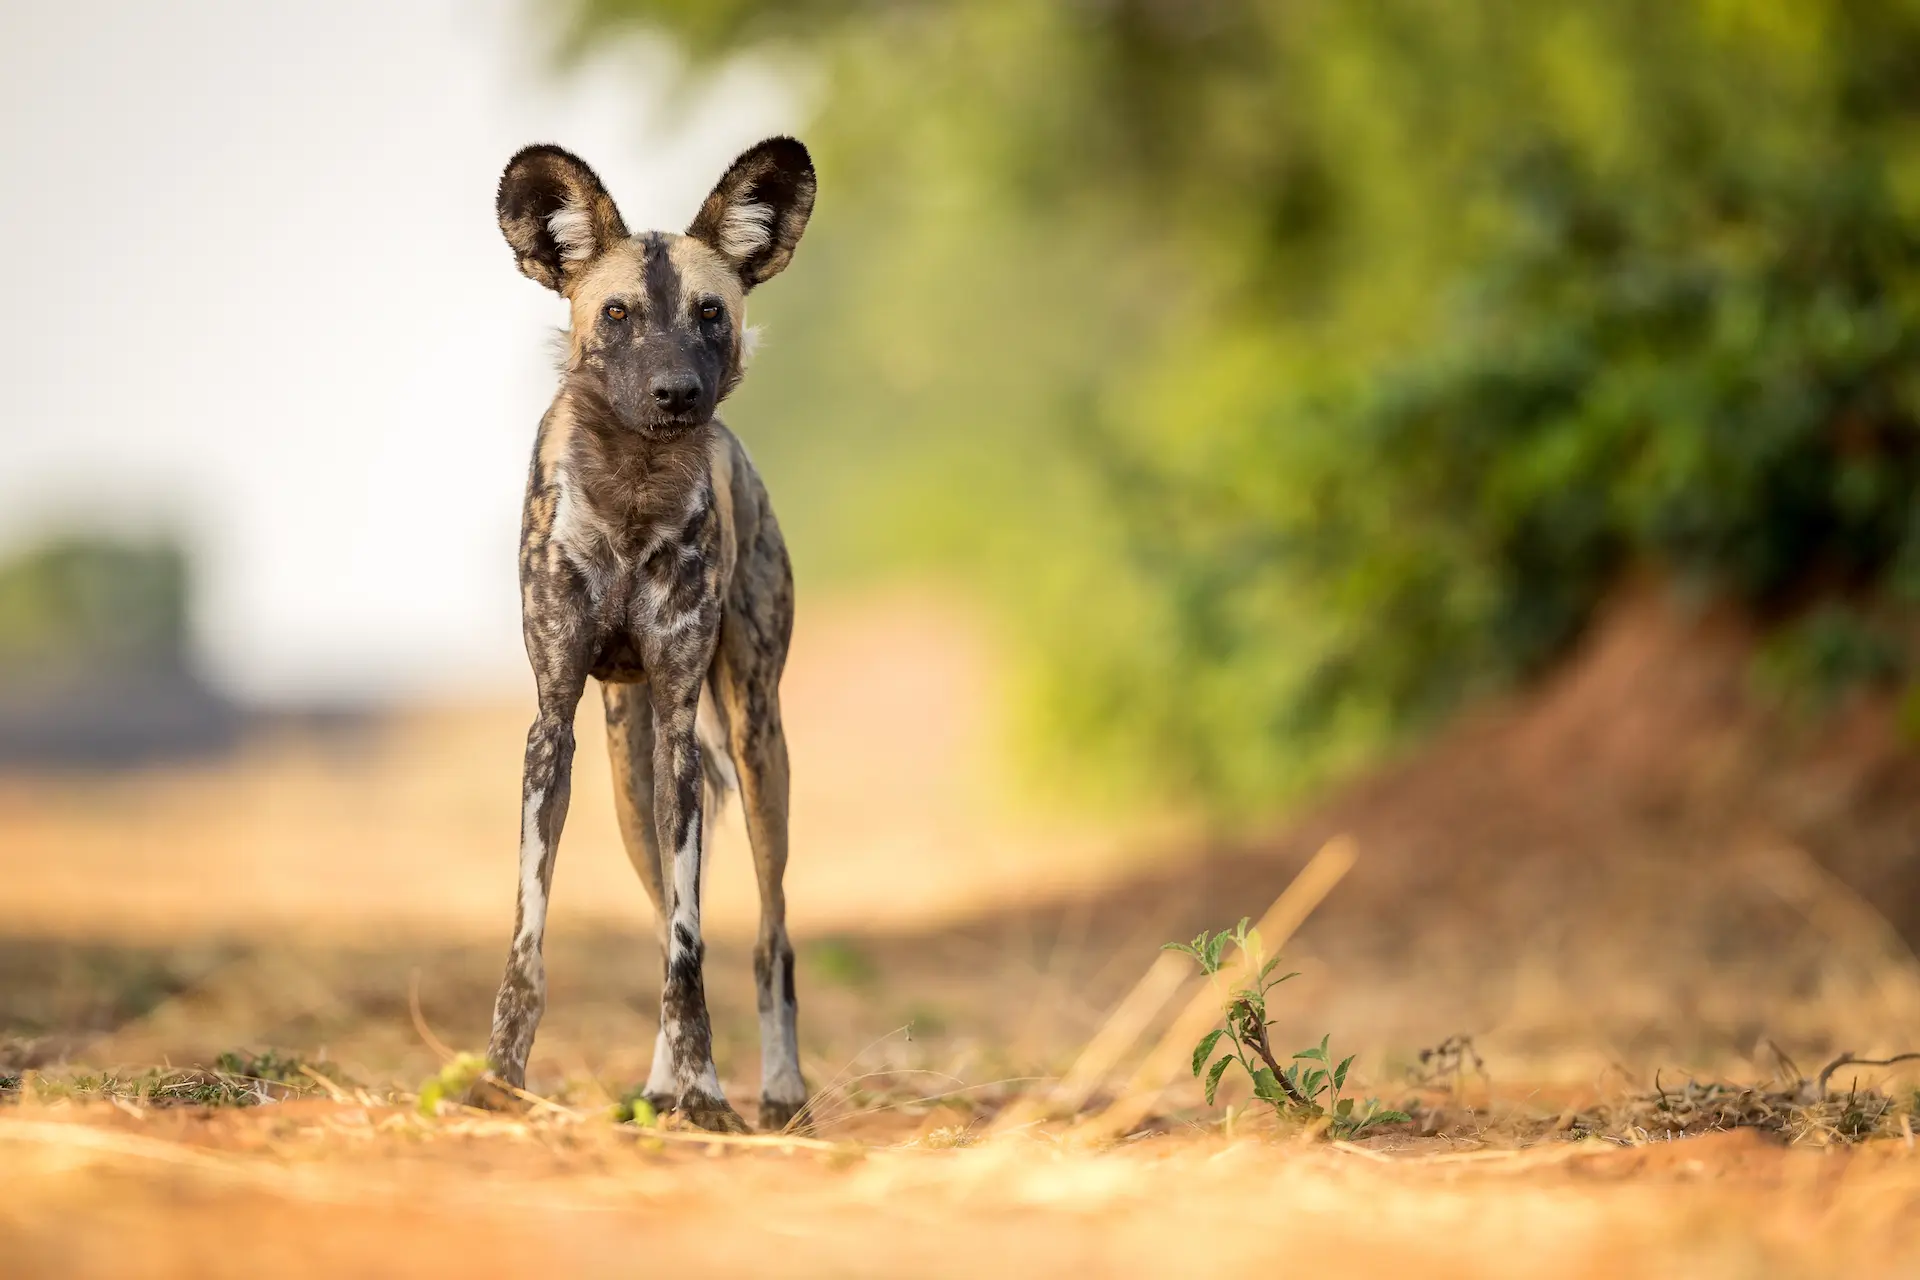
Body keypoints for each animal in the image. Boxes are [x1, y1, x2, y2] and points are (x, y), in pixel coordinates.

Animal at [480, 138, 817, 1128]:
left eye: (710, 313)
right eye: (618, 313)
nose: (677, 393)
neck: (633, 485)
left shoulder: (680, 728)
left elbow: (692, 945)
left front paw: (701, 1089)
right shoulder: (553, 727)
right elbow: (529, 940)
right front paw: (498, 1077)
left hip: (753, 750)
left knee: (765, 935)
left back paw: (773, 1092)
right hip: (631, 782)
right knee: (669, 905)